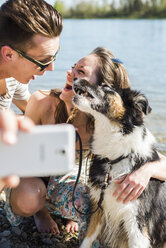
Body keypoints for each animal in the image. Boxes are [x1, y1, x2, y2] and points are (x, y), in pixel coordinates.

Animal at [72, 79, 166, 248]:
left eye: (106, 86)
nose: (76, 79)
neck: (114, 158)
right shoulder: (98, 208)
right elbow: (87, 240)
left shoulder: (137, 223)